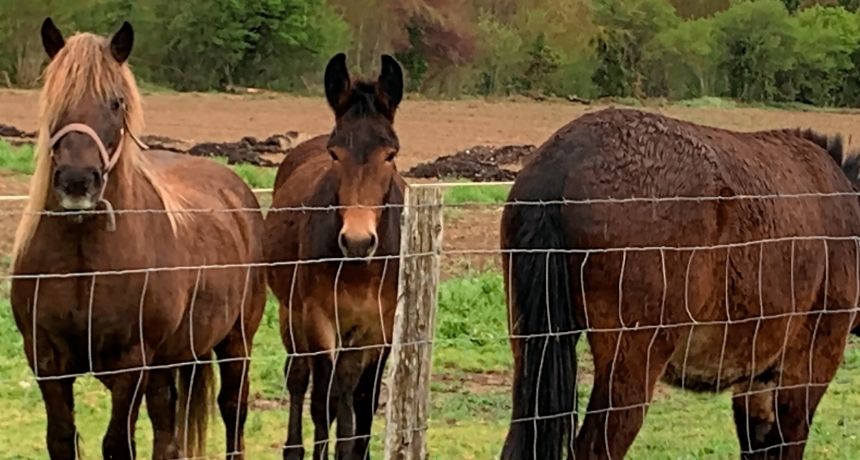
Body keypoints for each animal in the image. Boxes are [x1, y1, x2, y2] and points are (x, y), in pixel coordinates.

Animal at [9, 18, 266, 460]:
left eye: (116, 102)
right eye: (55, 100)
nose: (77, 182)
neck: (85, 261)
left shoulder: (131, 365)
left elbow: (117, 444)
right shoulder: (46, 361)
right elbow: (61, 439)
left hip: (236, 342)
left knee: (234, 410)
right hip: (169, 363)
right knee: (167, 434)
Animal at [266, 52, 406, 458]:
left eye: (390, 154)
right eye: (334, 153)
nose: (357, 241)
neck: (361, 268)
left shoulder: (379, 328)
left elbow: (361, 402)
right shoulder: (319, 320)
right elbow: (326, 401)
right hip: (291, 315)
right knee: (300, 381)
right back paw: (295, 449)